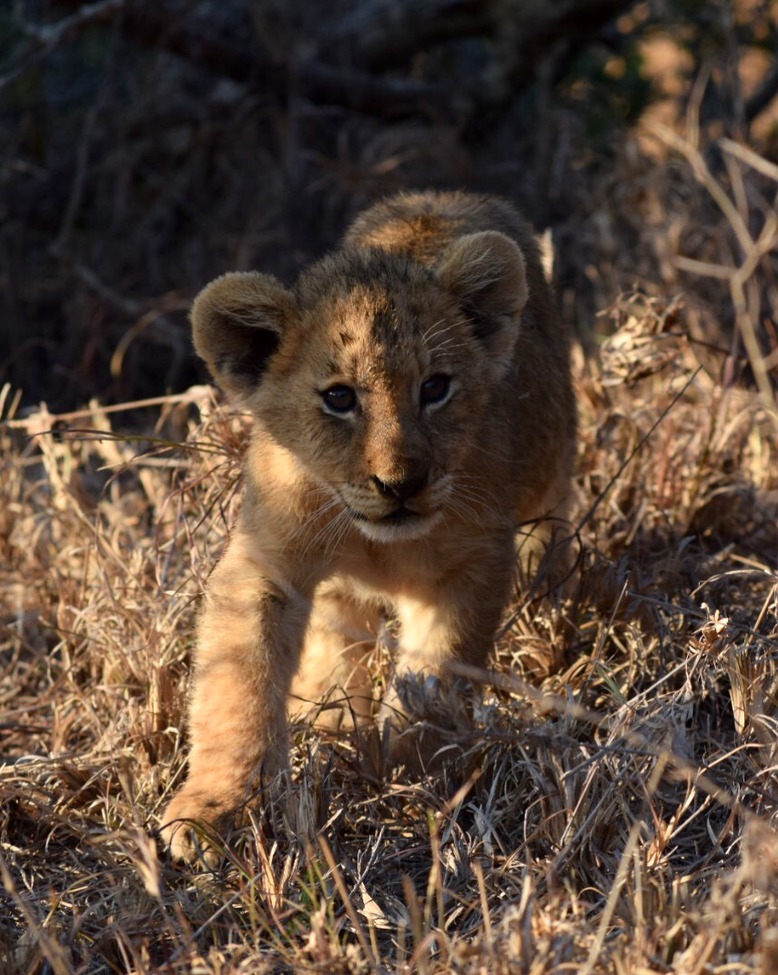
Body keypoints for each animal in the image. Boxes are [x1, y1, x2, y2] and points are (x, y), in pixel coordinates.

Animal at [160, 190, 577, 861]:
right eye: (339, 398)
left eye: (435, 387)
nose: (400, 484)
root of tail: (440, 195)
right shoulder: (266, 563)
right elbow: (237, 685)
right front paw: (214, 812)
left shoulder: (475, 562)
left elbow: (436, 675)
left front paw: (411, 772)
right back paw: (326, 715)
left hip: (551, 464)